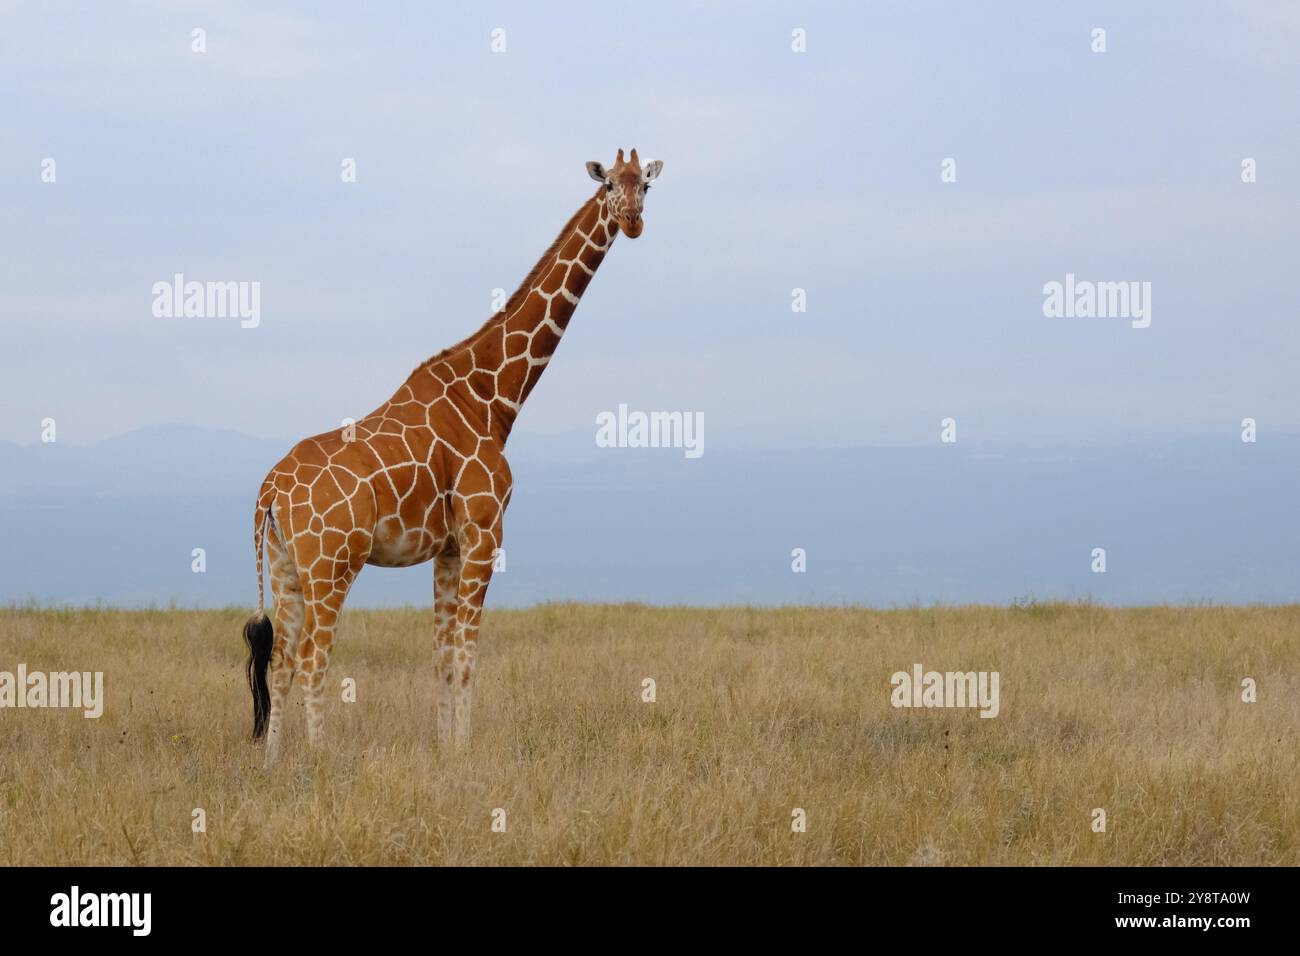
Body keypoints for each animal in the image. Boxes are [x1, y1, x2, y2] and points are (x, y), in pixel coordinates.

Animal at [242, 149, 663, 767]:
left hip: (285, 567)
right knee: (316, 659)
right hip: (331, 563)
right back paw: (321, 761)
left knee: (282, 661)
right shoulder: (485, 531)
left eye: (646, 186)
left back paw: (273, 765)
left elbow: (441, 656)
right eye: (609, 183)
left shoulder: (446, 548)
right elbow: (467, 656)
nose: (632, 220)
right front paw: (464, 750)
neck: (492, 397)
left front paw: (445, 747)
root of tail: (270, 489)